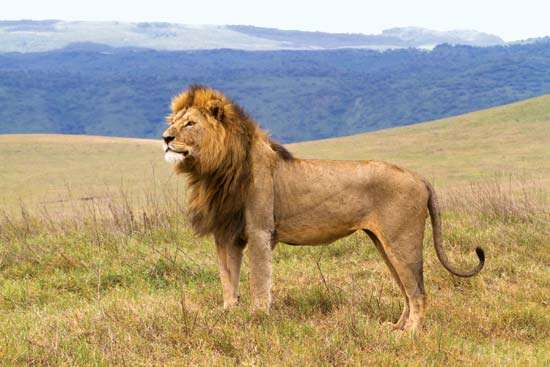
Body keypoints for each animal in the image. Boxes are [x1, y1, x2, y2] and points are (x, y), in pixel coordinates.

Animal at [162, 85, 486, 334]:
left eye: (190, 124)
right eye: (174, 120)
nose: (166, 137)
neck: (214, 171)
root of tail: (419, 177)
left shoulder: (260, 231)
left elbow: (258, 281)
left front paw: (258, 319)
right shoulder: (226, 234)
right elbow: (228, 280)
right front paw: (228, 315)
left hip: (401, 241)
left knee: (418, 292)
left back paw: (410, 334)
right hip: (384, 244)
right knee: (407, 291)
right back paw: (396, 328)